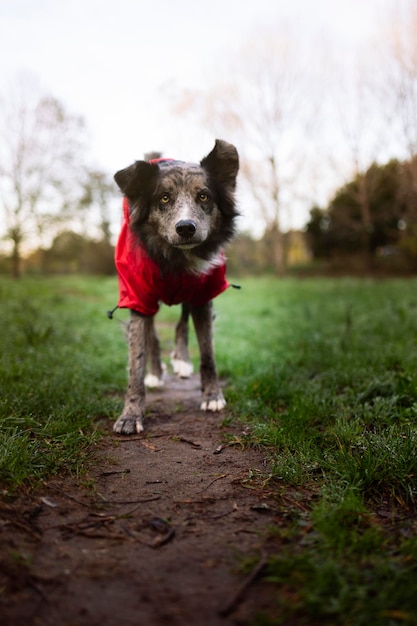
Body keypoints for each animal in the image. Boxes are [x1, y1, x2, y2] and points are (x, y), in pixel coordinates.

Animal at [112, 138, 239, 432]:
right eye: (164, 198)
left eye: (203, 196)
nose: (185, 228)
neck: (175, 259)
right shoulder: (137, 297)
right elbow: (136, 362)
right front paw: (131, 414)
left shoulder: (204, 293)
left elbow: (208, 355)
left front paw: (212, 396)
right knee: (153, 334)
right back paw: (156, 374)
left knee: (182, 321)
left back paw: (181, 360)